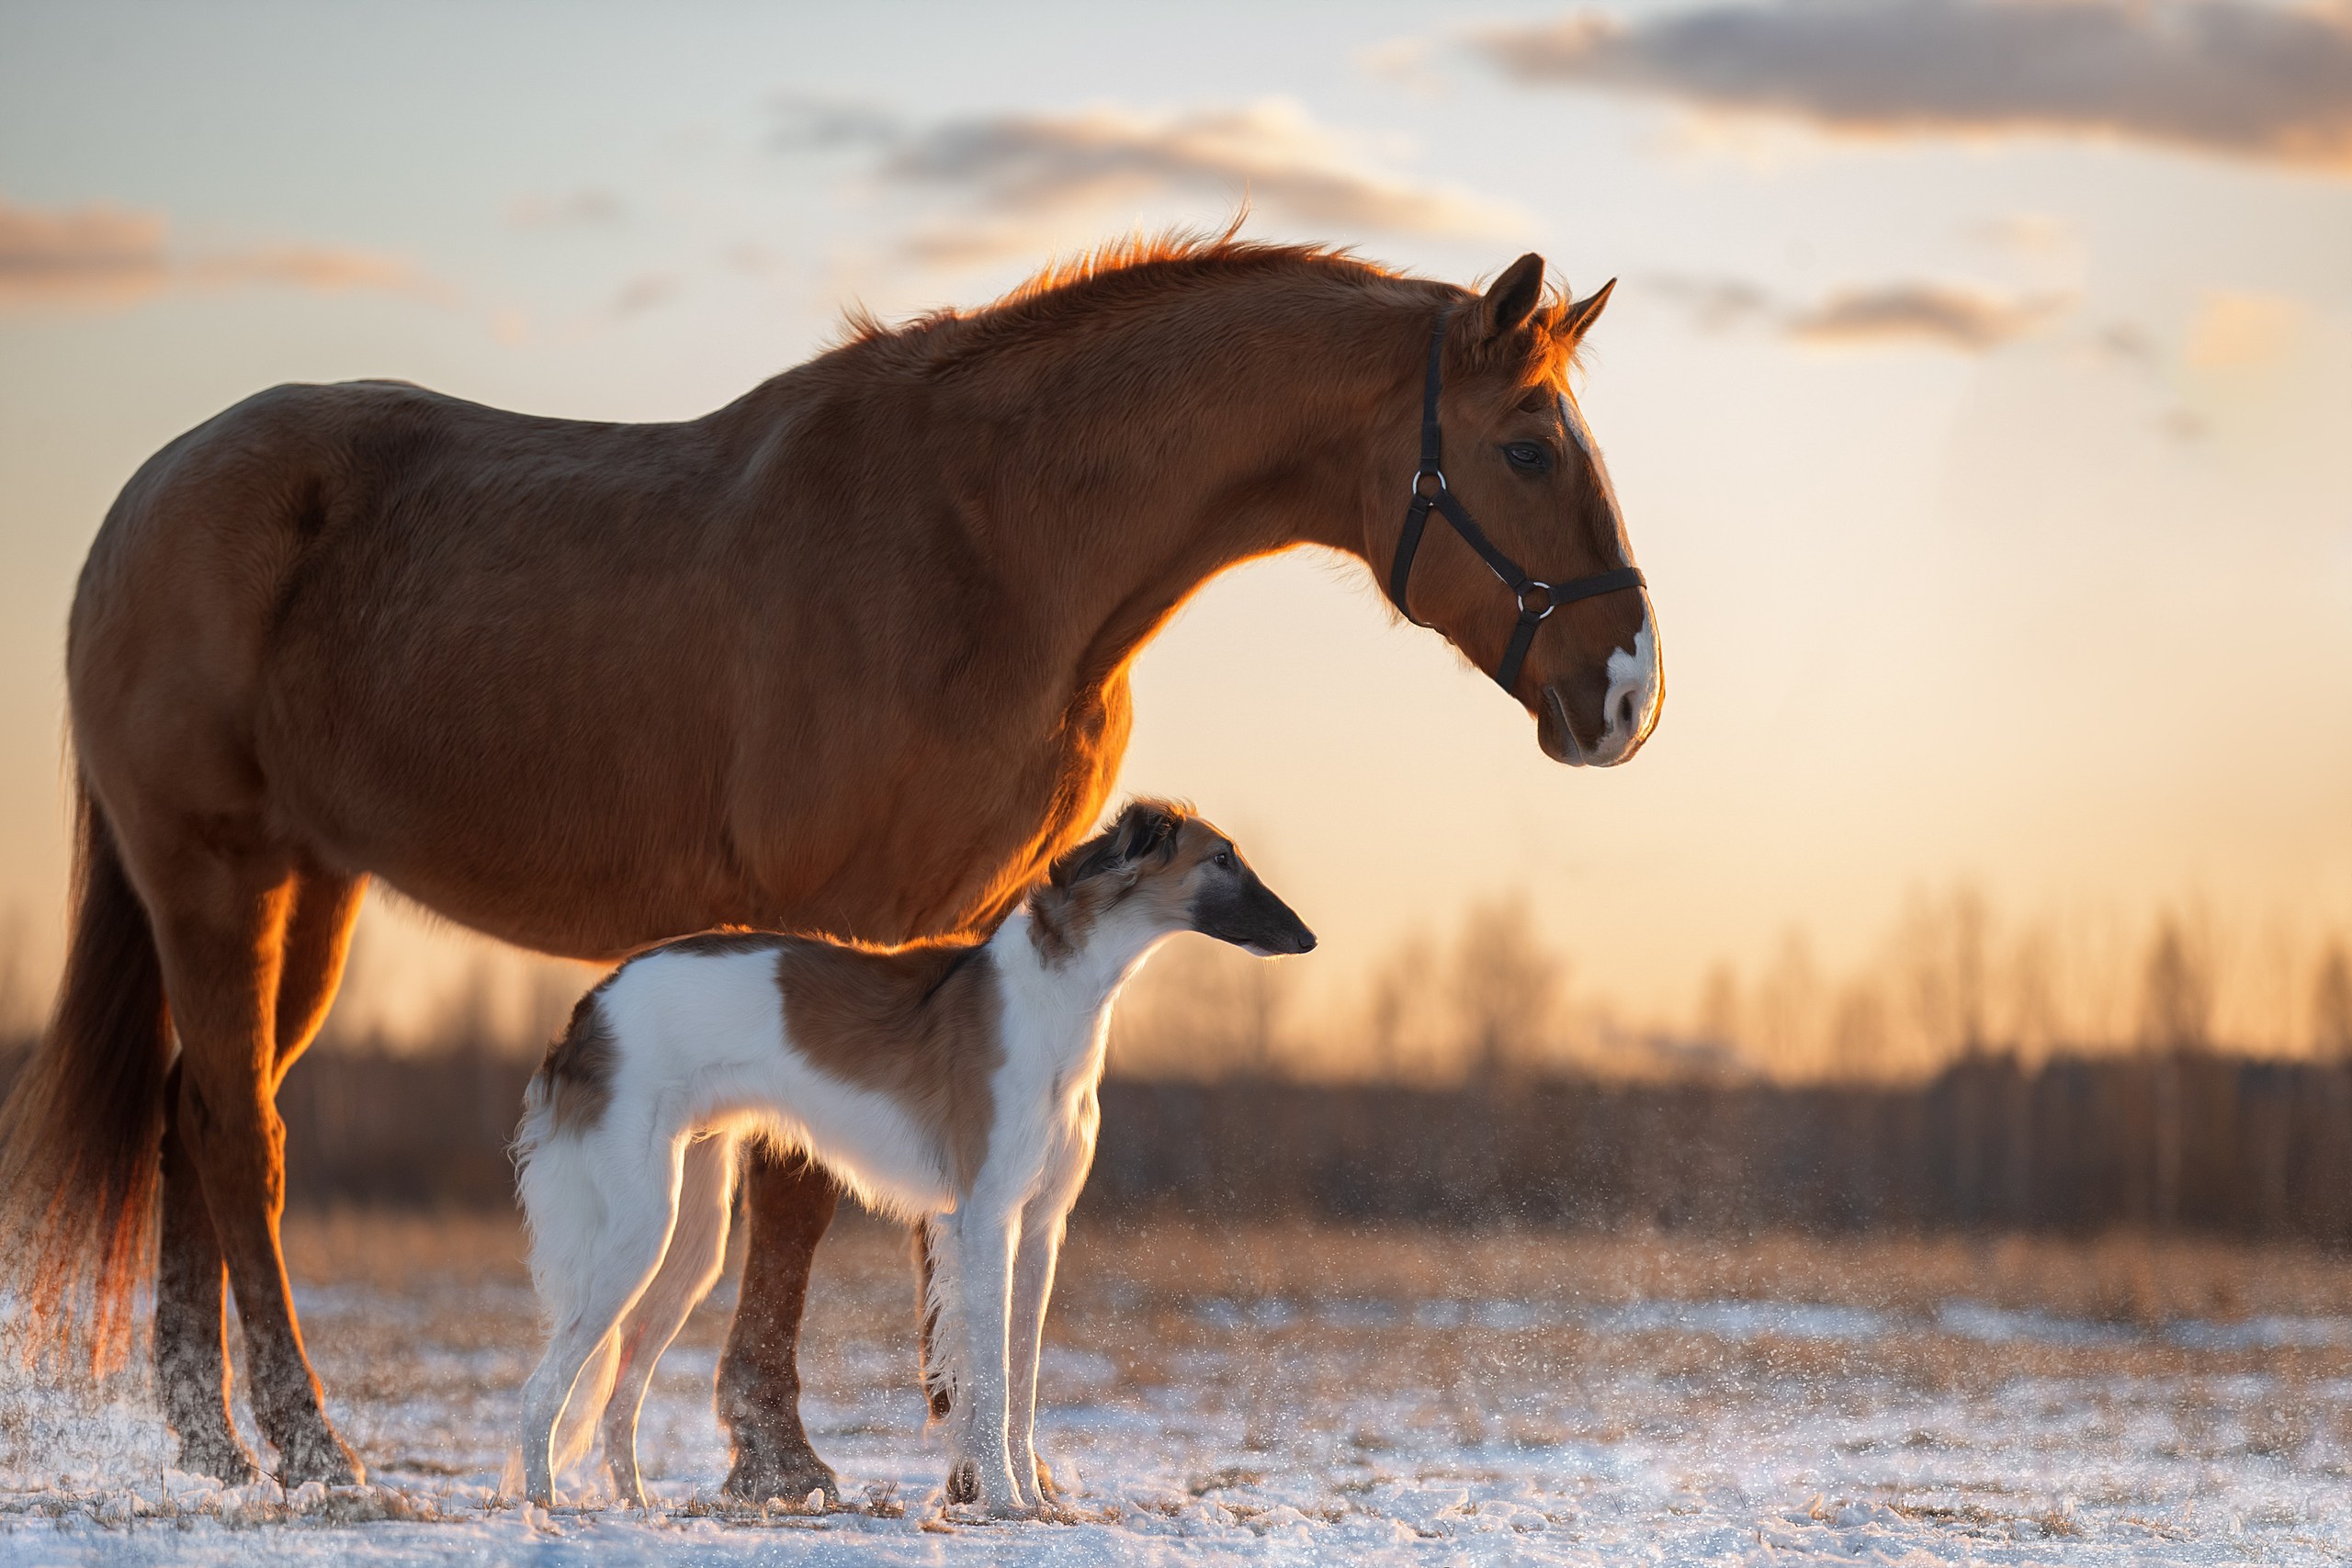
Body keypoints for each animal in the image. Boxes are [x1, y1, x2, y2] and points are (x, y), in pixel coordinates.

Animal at [513, 804, 1317, 1514]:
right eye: (1222, 858)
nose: (1309, 937)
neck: (1054, 998)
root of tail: (592, 1003)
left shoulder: (1042, 1226)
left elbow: (1022, 1382)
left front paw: (1032, 1499)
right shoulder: (987, 1218)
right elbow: (991, 1380)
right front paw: (1004, 1501)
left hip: (688, 1237)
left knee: (619, 1393)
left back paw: (635, 1503)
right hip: (637, 1231)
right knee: (542, 1386)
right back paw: (540, 1500)